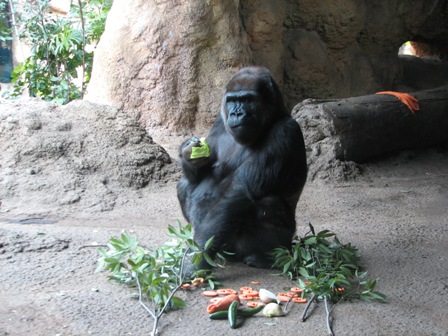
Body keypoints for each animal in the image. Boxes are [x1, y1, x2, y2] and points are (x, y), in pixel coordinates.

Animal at [177, 67, 306, 270]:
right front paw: (189, 152)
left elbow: (239, 190)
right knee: (183, 185)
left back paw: (266, 258)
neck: (271, 118)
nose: (236, 113)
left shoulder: (286, 131)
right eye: (231, 100)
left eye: (247, 100)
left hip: (279, 245)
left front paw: (197, 258)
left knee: (267, 203)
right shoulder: (219, 120)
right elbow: (199, 174)